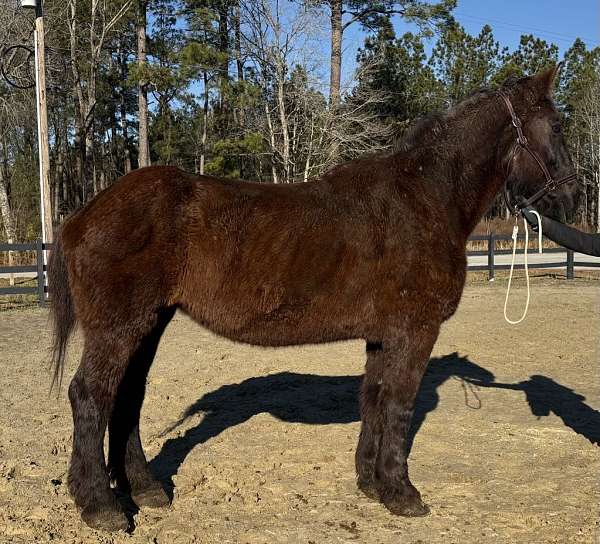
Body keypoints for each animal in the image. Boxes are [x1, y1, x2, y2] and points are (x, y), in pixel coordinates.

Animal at [48, 65, 580, 532]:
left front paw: (371, 483)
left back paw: (145, 489)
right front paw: (403, 494)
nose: (571, 198)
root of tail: (85, 215)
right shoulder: (415, 330)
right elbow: (400, 405)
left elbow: (374, 399)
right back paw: (101, 506)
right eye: (557, 126)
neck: (425, 197)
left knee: (127, 398)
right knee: (90, 396)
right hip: (121, 327)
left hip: (149, 323)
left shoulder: (382, 336)